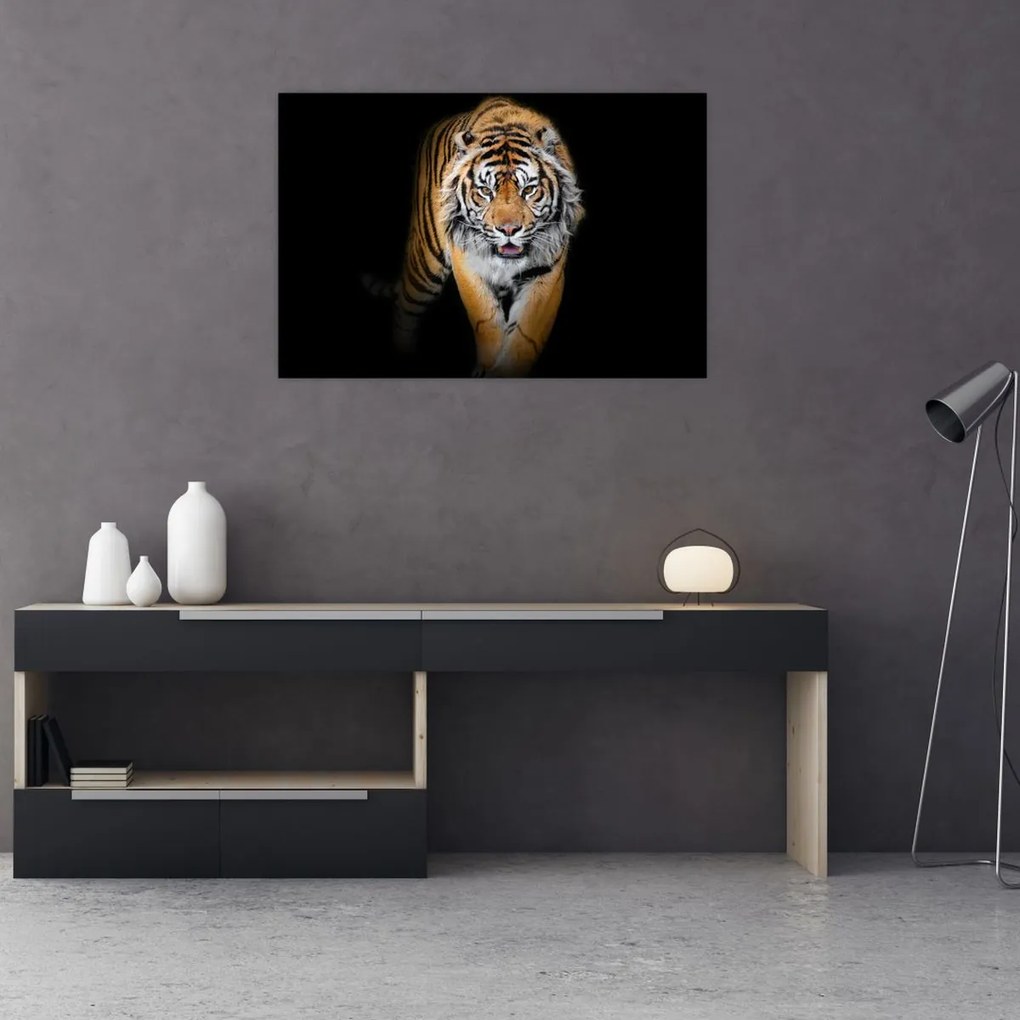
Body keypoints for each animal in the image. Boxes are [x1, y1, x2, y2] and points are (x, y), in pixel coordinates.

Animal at [389, 96, 584, 377]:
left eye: (529, 190)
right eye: (485, 191)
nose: (509, 230)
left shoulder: (547, 273)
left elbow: (526, 335)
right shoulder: (467, 263)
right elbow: (487, 321)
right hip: (425, 265)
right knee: (404, 309)